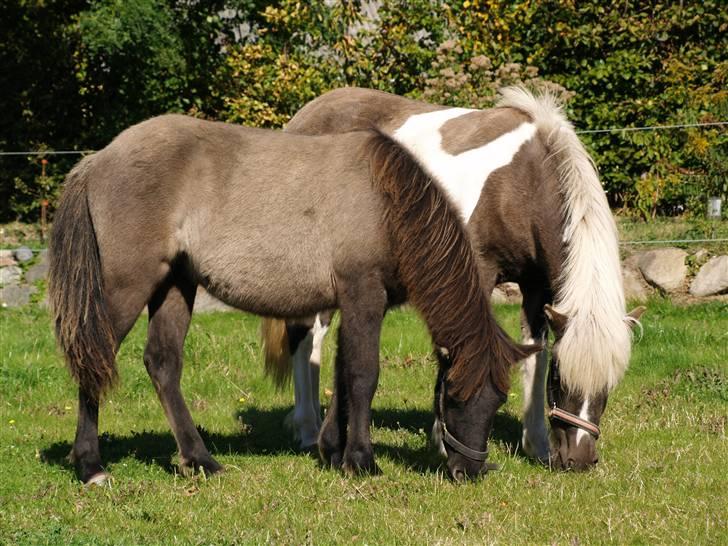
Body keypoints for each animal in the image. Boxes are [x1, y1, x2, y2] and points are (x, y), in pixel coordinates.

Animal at [262, 85, 644, 468]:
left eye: (611, 383)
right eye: (561, 378)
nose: (579, 458)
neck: (522, 181)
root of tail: (305, 116)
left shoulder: (537, 287)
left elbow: (534, 355)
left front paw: (536, 445)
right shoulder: (475, 273)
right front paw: (444, 443)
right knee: (307, 336)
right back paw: (307, 429)